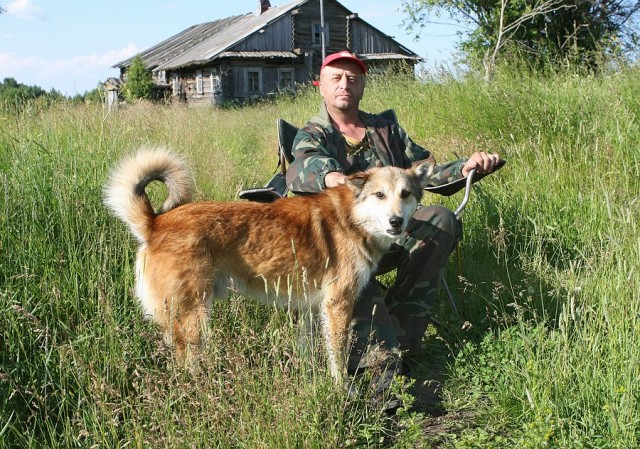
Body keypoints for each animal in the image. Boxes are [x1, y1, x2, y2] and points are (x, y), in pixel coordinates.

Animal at [105, 146, 436, 382]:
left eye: (405, 194)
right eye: (379, 195)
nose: (396, 221)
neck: (352, 217)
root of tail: (155, 223)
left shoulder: (313, 308)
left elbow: (310, 349)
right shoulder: (338, 305)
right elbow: (338, 357)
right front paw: (341, 388)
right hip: (194, 318)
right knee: (186, 361)